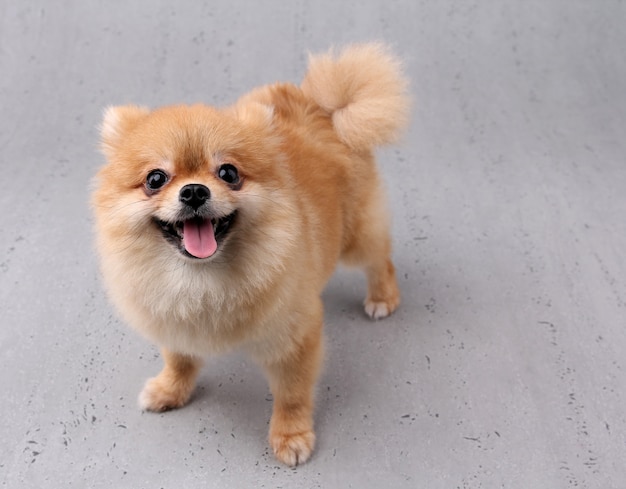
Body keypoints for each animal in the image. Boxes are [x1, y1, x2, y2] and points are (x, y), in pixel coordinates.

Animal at [90, 43, 408, 466]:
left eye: (228, 173)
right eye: (155, 179)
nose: (194, 191)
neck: (201, 279)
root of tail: (325, 108)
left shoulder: (293, 338)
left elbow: (292, 394)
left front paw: (291, 435)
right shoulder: (173, 318)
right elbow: (179, 359)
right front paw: (170, 390)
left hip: (355, 236)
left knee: (380, 259)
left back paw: (382, 297)